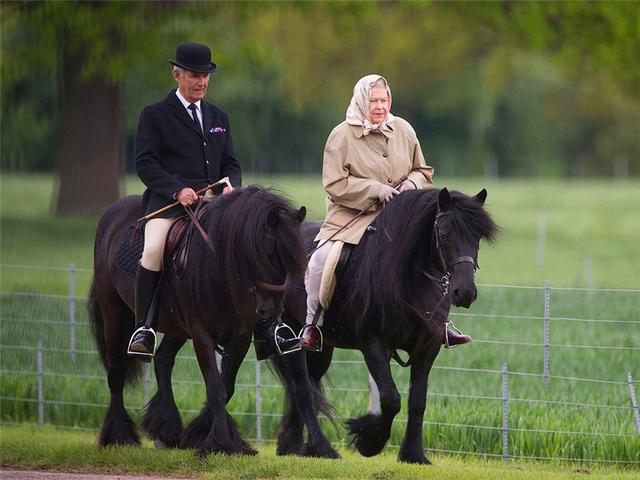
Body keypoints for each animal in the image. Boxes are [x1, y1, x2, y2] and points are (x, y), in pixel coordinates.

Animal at [89, 186, 338, 456]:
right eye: (265, 253)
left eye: (294, 261)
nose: (270, 311)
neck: (219, 269)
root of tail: (112, 213)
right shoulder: (201, 334)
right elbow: (216, 389)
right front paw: (221, 443)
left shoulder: (240, 337)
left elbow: (226, 386)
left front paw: (207, 437)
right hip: (114, 313)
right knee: (116, 372)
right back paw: (120, 435)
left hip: (176, 327)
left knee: (163, 360)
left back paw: (167, 431)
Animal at [272, 186, 498, 464]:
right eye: (444, 235)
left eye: (477, 237)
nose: (465, 293)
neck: (406, 279)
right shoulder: (373, 344)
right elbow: (391, 399)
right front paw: (369, 440)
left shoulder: (428, 347)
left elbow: (418, 399)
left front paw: (414, 454)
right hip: (292, 334)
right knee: (302, 389)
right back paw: (322, 448)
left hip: (321, 347)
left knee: (307, 386)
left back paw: (293, 446)